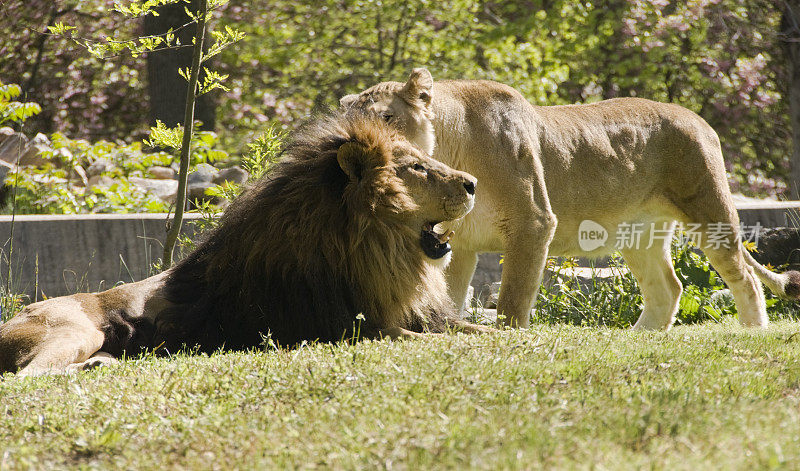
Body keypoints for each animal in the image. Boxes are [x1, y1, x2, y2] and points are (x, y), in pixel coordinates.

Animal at [0, 112, 488, 378]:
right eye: (416, 168)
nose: (473, 183)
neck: (379, 253)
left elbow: (485, 331)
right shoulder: (355, 329)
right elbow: (443, 343)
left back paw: (101, 365)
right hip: (75, 329)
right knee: (27, 377)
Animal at [340, 68, 800, 330]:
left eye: (385, 116)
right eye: (348, 120)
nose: (361, 148)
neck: (449, 149)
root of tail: (697, 117)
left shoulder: (532, 223)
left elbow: (512, 300)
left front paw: (507, 338)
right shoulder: (459, 242)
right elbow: (451, 299)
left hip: (708, 209)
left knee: (742, 276)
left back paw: (753, 331)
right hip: (638, 234)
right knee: (667, 287)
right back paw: (638, 339)